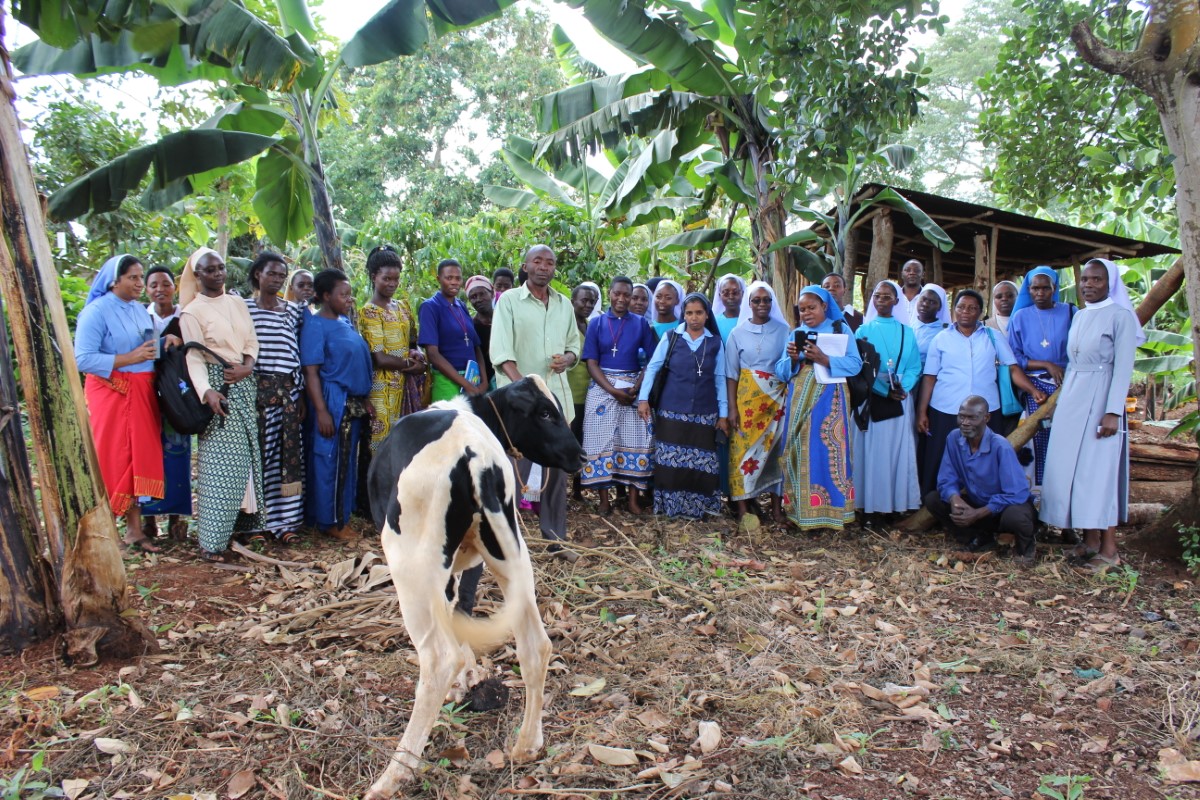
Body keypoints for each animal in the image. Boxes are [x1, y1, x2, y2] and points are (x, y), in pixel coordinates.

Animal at [362, 376, 583, 800]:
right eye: (546, 412)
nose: (579, 454)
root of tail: (475, 456)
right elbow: (462, 605)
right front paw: (469, 677)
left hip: (411, 566)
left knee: (437, 658)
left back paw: (393, 775)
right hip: (508, 552)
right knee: (536, 644)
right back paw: (527, 744)